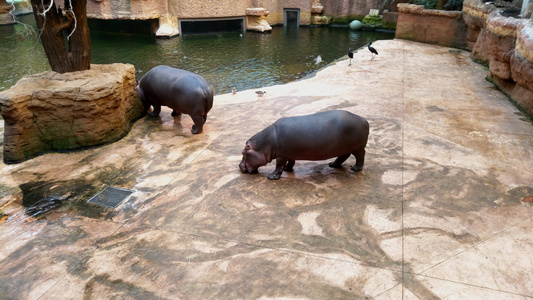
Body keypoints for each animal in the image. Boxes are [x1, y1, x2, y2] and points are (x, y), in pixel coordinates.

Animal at [239, 110, 368, 180]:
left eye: (243, 153)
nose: (239, 166)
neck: (266, 142)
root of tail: (364, 119)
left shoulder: (281, 155)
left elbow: (278, 166)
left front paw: (271, 177)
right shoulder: (288, 153)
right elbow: (291, 161)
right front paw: (288, 169)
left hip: (358, 148)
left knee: (360, 156)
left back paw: (355, 169)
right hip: (345, 148)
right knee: (343, 156)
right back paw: (332, 165)